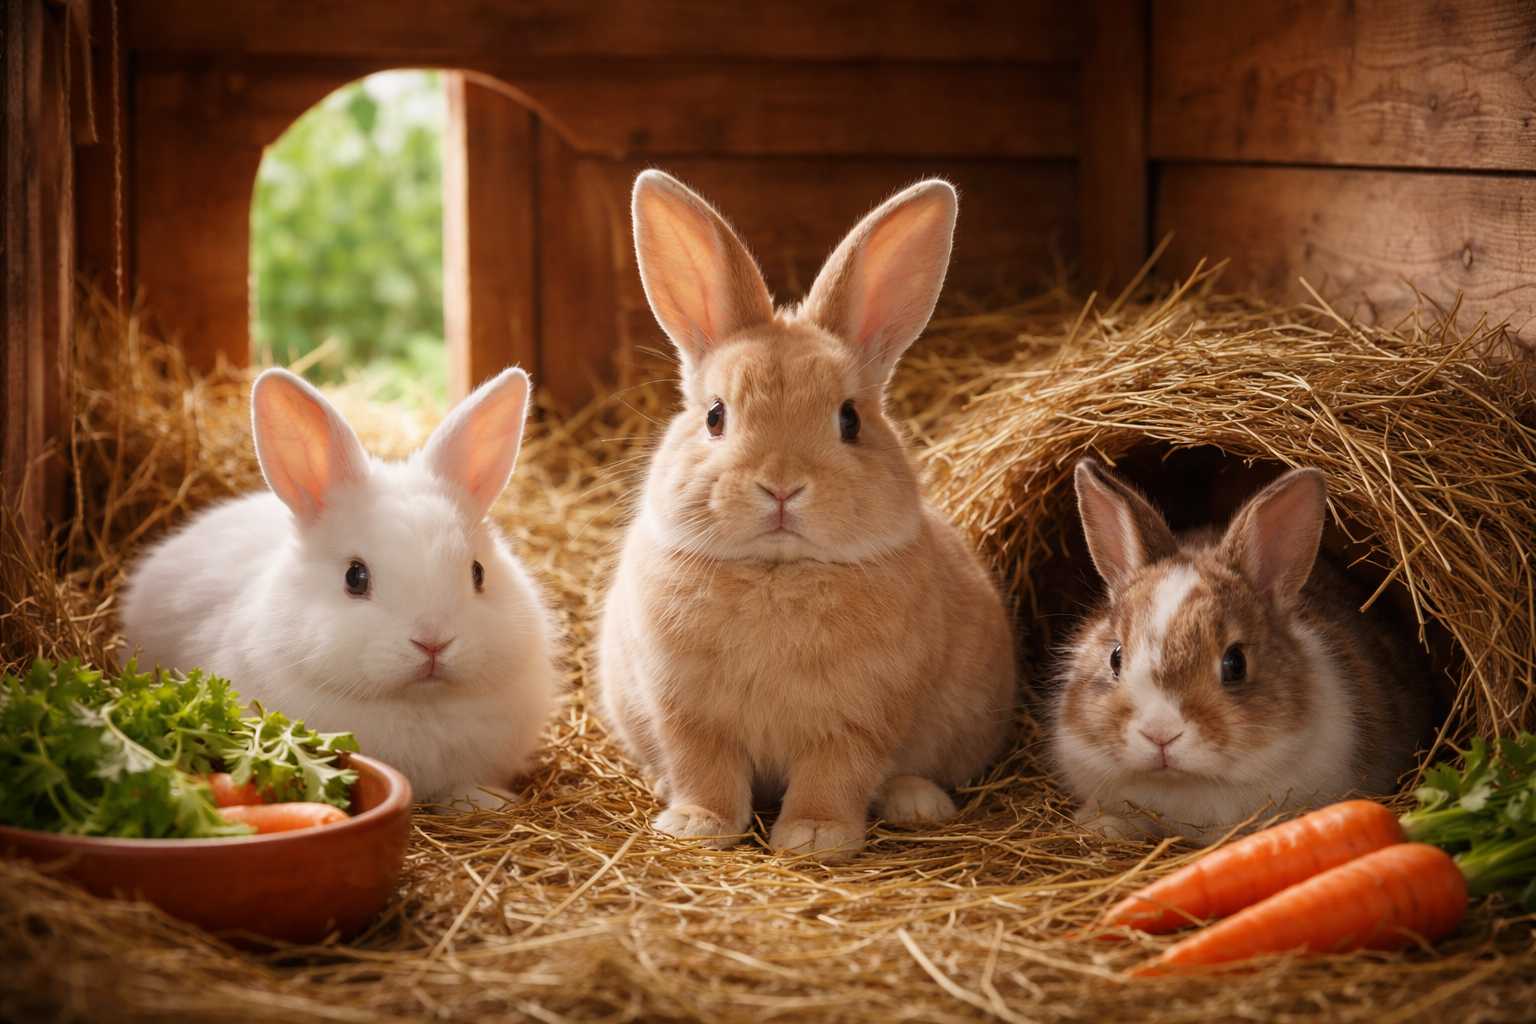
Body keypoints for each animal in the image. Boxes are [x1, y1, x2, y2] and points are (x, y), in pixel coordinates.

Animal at [596, 170, 1017, 863]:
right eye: (715, 416)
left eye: (850, 419)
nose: (782, 486)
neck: (777, 571)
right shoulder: (687, 713)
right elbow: (704, 769)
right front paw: (699, 826)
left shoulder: (858, 719)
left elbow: (834, 776)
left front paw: (815, 838)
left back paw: (917, 803)